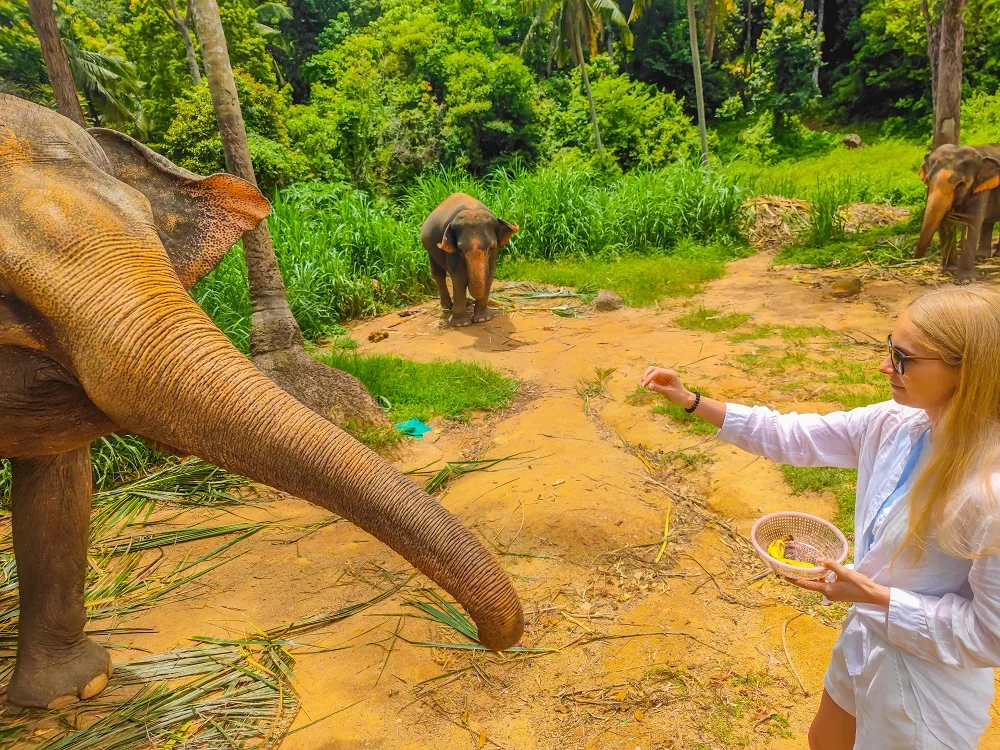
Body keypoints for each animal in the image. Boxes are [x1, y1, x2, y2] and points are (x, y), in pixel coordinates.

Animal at [420, 194, 520, 326]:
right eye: (460, 248)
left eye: (491, 247)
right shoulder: (452, 251)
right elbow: (459, 276)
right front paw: (461, 324)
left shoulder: (494, 253)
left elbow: (489, 274)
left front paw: (482, 319)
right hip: (429, 249)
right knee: (438, 274)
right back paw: (448, 307)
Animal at [916, 142, 1000, 280]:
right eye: (927, 181)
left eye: (960, 184)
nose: (916, 257)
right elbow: (945, 223)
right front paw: (949, 269)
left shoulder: (980, 189)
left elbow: (971, 223)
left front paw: (965, 280)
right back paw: (981, 257)